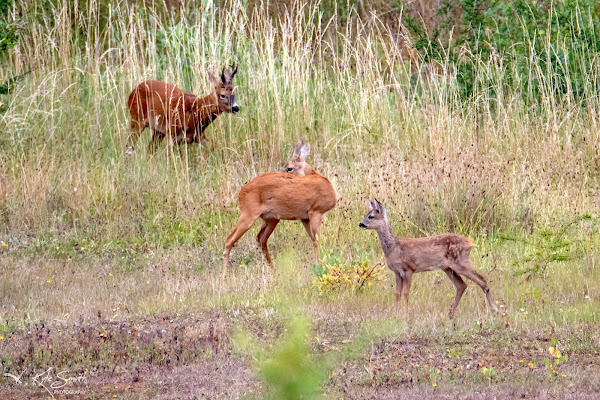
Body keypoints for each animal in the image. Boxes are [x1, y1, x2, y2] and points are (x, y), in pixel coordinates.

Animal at [223, 142, 338, 276]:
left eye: (289, 168)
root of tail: (241, 193)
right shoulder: (316, 212)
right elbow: (318, 241)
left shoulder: (305, 218)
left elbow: (314, 240)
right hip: (248, 215)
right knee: (229, 240)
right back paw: (224, 275)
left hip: (271, 219)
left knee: (261, 239)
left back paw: (273, 269)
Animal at [360, 198, 496, 318]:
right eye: (365, 214)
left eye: (371, 216)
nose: (360, 224)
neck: (395, 248)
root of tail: (470, 242)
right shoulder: (397, 272)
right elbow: (397, 293)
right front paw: (396, 314)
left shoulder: (408, 269)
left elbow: (406, 293)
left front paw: (405, 315)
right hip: (448, 268)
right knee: (461, 285)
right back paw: (450, 313)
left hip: (461, 262)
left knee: (482, 279)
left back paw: (494, 310)